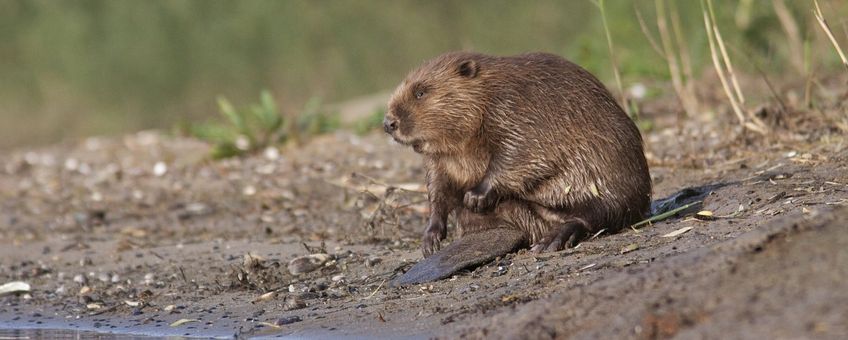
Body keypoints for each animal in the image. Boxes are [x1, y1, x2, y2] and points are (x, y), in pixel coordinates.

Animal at [384, 51, 648, 284]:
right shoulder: (438, 159)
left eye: (420, 92)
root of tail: (512, 229)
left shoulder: (515, 109)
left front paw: (475, 197)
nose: (388, 123)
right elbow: (437, 187)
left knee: (593, 215)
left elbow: (519, 153)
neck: (488, 92)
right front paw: (430, 239)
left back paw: (550, 239)